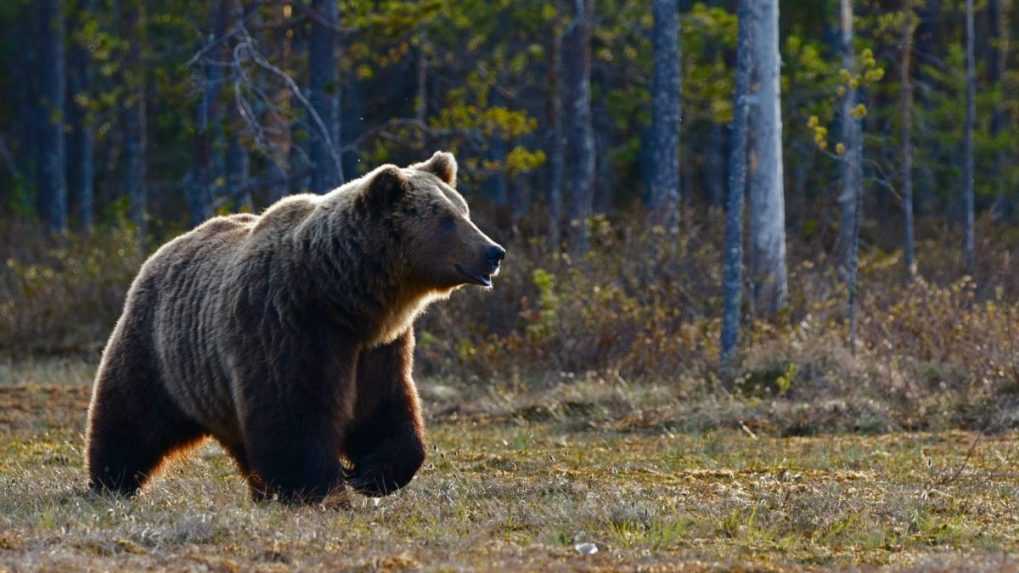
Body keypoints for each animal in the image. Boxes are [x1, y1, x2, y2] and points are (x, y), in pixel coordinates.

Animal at [84, 150, 505, 499]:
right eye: (447, 220)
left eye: (465, 211)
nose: (494, 251)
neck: (343, 296)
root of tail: (164, 249)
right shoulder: (289, 324)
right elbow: (294, 412)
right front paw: (318, 488)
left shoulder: (378, 346)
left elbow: (385, 407)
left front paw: (372, 474)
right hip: (159, 350)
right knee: (131, 415)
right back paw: (110, 481)